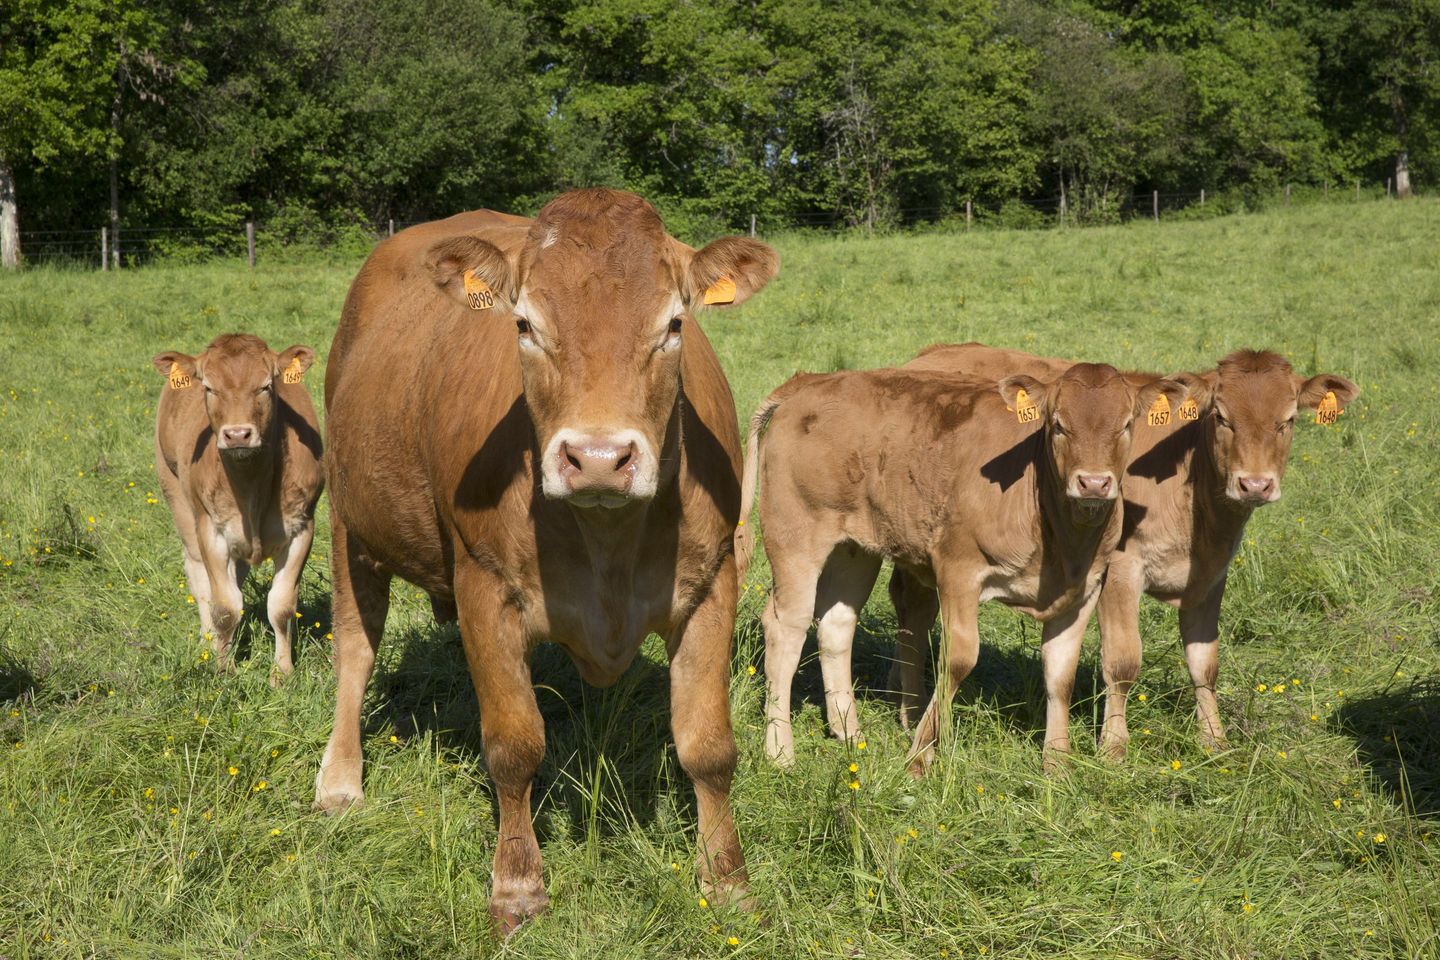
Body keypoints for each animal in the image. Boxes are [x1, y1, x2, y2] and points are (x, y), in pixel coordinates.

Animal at [150, 333, 322, 679]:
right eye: (209, 387)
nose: (238, 434)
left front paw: (282, 672)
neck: (252, 487)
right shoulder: (211, 530)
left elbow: (281, 606)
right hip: (175, 493)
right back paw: (207, 642)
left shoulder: (302, 528)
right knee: (200, 577)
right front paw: (223, 669)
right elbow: (224, 607)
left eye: (265, 386)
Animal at [321, 187, 783, 932]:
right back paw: (338, 780)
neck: (608, 542)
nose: (597, 457)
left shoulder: (713, 585)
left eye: (674, 324)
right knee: (355, 649)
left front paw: (728, 882)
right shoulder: (484, 587)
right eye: (525, 325)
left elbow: (709, 747)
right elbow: (514, 747)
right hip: (347, 524)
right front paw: (516, 886)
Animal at [737, 364, 1186, 777]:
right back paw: (780, 750)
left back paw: (850, 733)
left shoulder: (1083, 590)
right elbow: (958, 659)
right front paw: (920, 756)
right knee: (785, 628)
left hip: (855, 549)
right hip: (795, 535)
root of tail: (813, 380)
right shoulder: (958, 569)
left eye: (1126, 424)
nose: (1093, 483)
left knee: (836, 625)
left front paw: (1057, 763)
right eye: (1058, 425)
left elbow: (1061, 673)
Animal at [892, 345, 1353, 759]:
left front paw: (1215, 741)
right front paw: (1113, 747)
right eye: (1222, 417)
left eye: (1288, 421)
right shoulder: (1120, 568)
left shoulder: (1210, 576)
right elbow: (1123, 660)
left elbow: (1204, 662)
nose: (1255, 484)